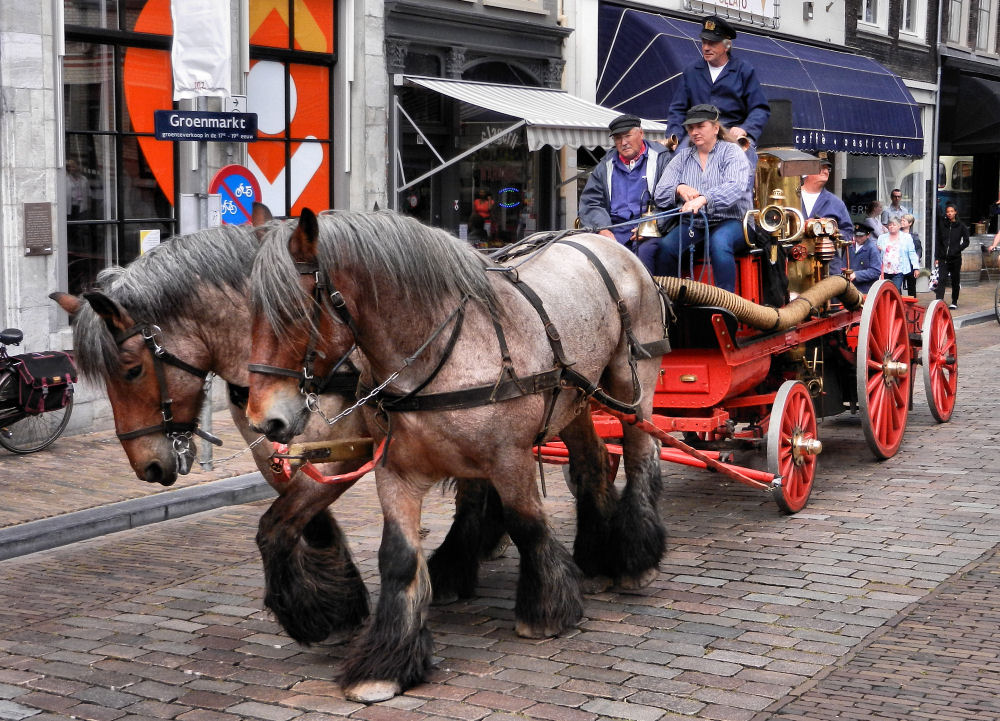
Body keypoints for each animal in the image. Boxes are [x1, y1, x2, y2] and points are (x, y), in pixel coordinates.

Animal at [48, 224, 500, 640]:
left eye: (132, 370)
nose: (148, 466)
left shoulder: (346, 451)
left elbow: (277, 526)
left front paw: (312, 615)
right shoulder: (273, 453)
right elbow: (305, 520)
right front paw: (337, 599)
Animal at [248, 210, 672, 704]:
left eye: (294, 311)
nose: (264, 420)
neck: (440, 351)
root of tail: (600, 240)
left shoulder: (509, 457)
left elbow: (527, 524)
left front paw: (547, 610)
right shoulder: (394, 468)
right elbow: (396, 556)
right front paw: (384, 663)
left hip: (631, 384)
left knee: (642, 452)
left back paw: (635, 559)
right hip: (575, 399)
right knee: (592, 463)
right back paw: (595, 555)